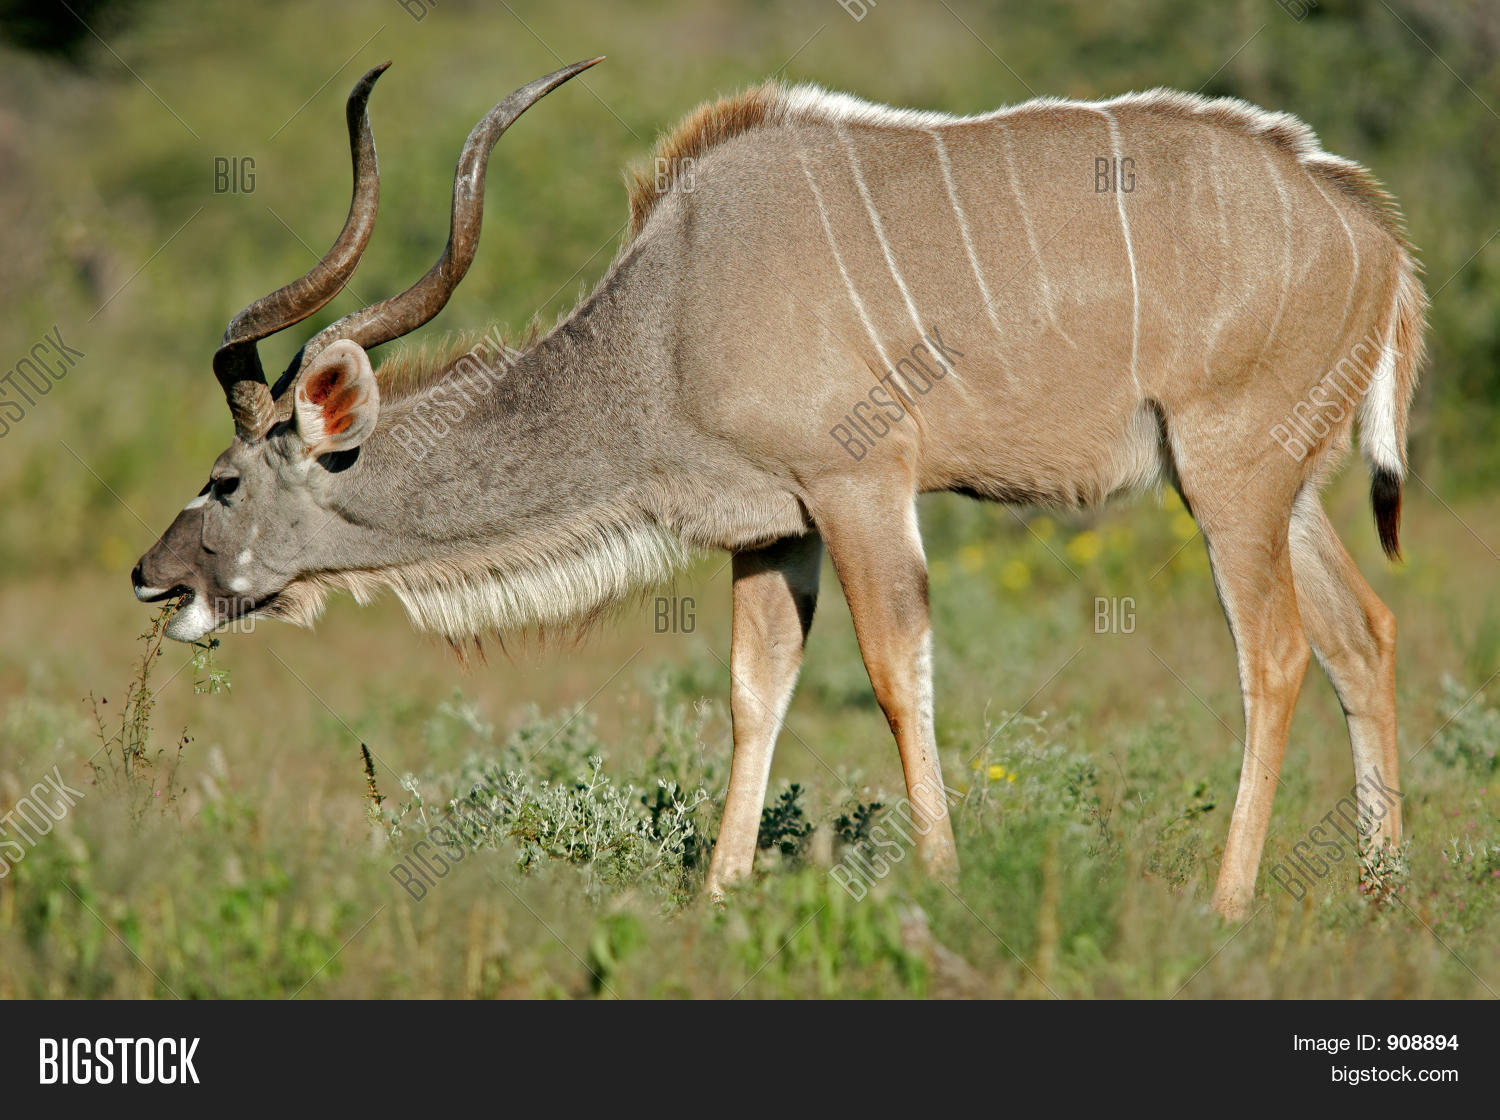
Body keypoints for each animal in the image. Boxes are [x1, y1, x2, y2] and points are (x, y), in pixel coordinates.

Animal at [133, 58, 1426, 919]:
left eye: (225, 479)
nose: (151, 575)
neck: (667, 321)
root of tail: (1370, 222)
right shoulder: (774, 530)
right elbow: (756, 691)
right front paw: (718, 895)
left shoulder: (859, 486)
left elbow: (896, 672)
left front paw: (940, 881)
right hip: (1278, 487)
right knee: (1362, 631)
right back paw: (1378, 889)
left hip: (1228, 474)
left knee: (1276, 650)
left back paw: (1228, 902)